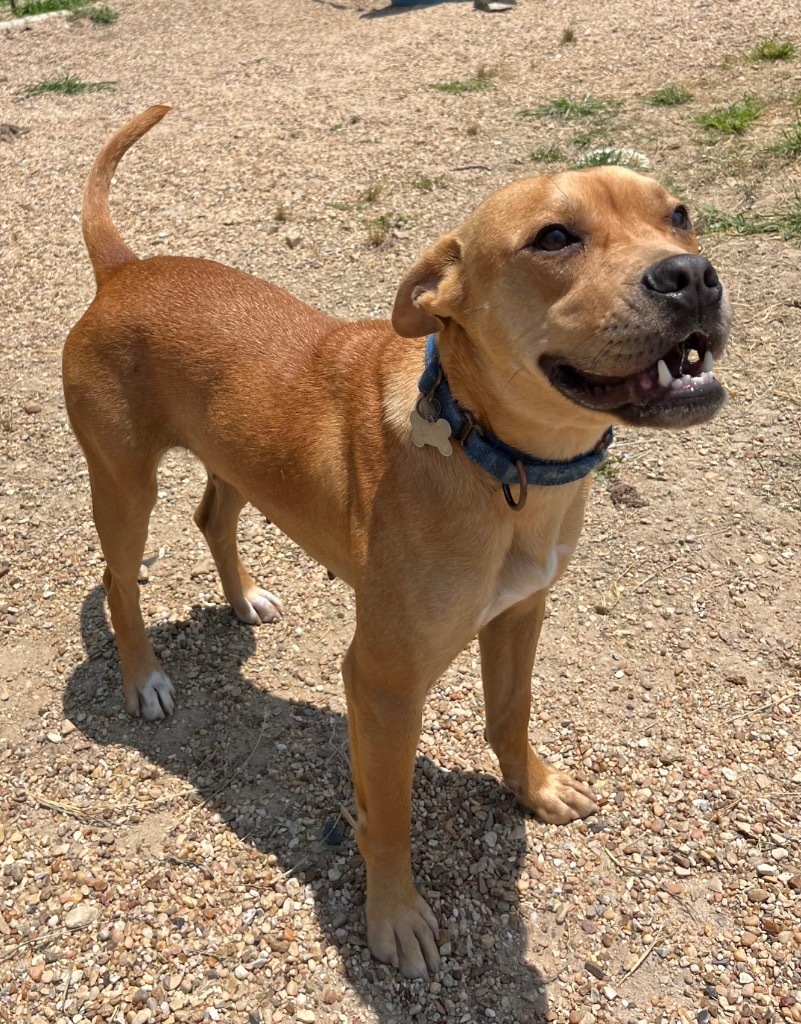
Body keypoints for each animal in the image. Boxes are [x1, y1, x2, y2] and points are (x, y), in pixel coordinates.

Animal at [62, 108, 729, 978]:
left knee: (212, 517)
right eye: (553, 237)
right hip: (123, 482)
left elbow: (509, 714)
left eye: (677, 214)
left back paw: (244, 599)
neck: (502, 461)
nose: (692, 275)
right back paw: (143, 679)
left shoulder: (521, 615)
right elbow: (390, 816)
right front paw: (395, 916)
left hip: (237, 455)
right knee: (118, 580)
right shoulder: (382, 683)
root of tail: (124, 270)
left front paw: (534, 787)